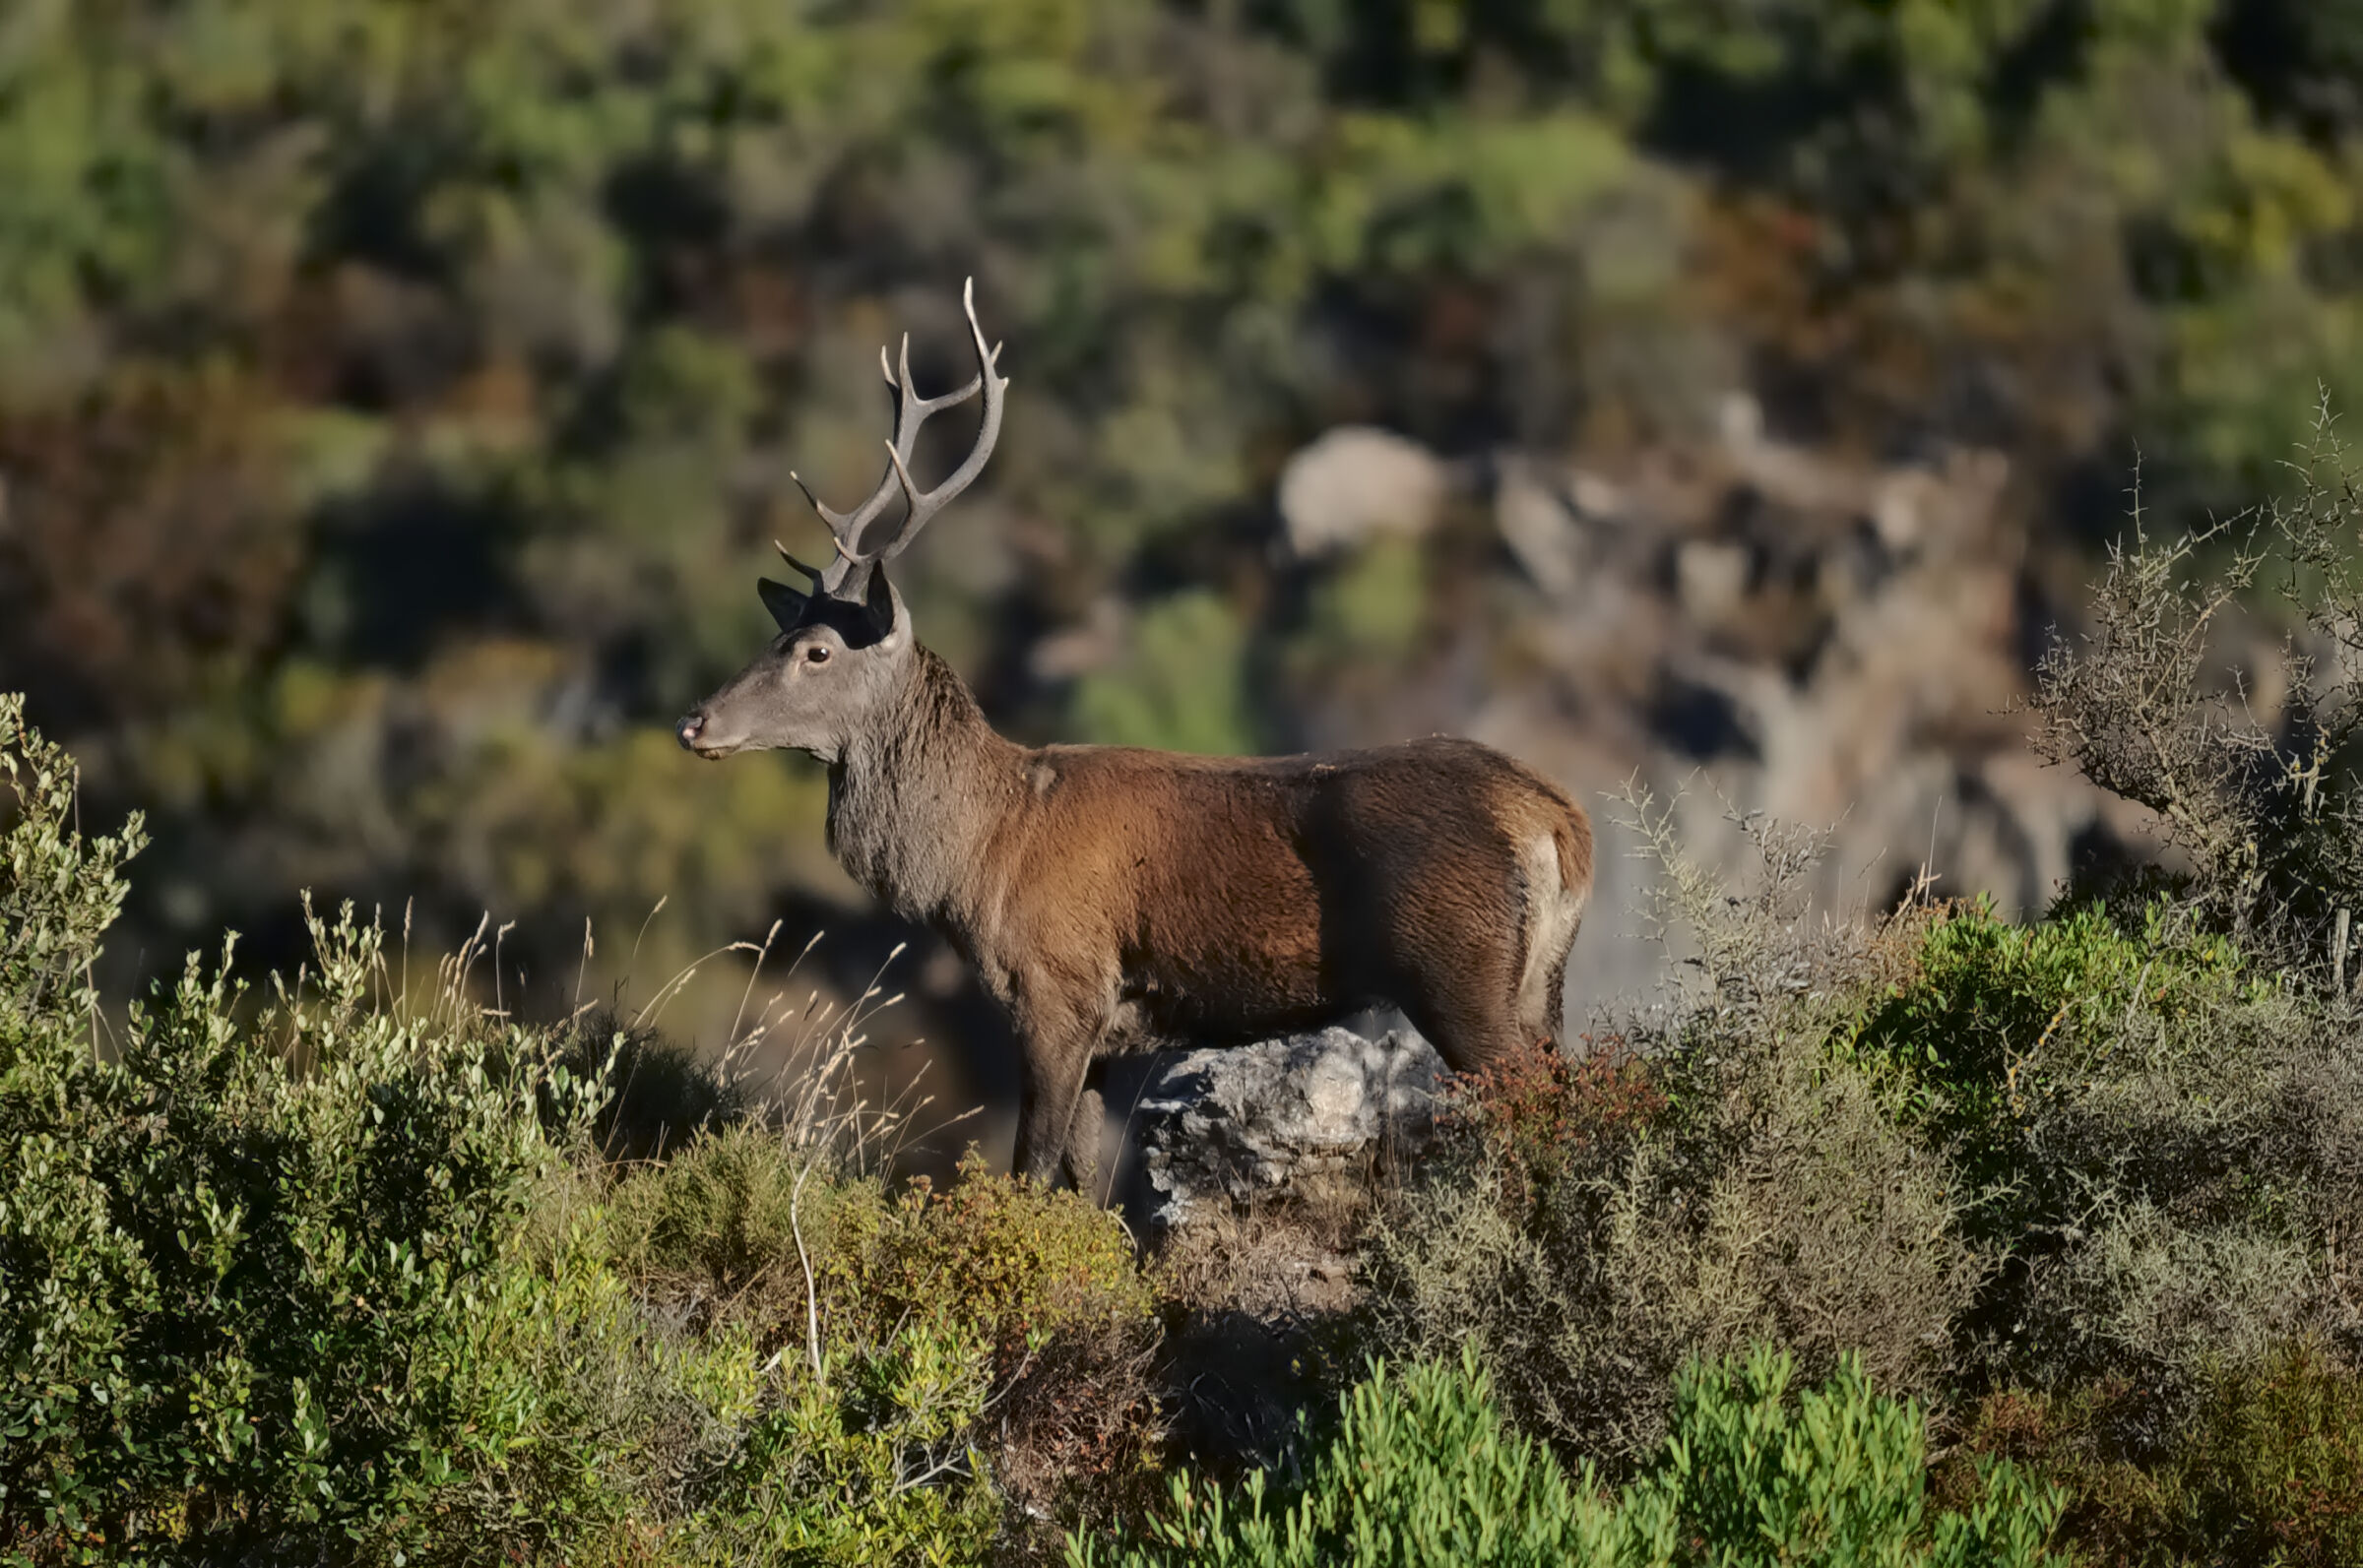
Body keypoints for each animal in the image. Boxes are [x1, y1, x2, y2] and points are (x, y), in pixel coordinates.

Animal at [677, 280, 1593, 1186]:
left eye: (817, 650)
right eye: (781, 632)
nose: (695, 721)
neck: (978, 858)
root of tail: (1559, 823)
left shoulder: (1056, 988)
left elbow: (1033, 1172)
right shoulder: (1107, 1032)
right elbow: (1083, 1185)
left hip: (1458, 971)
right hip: (1539, 983)